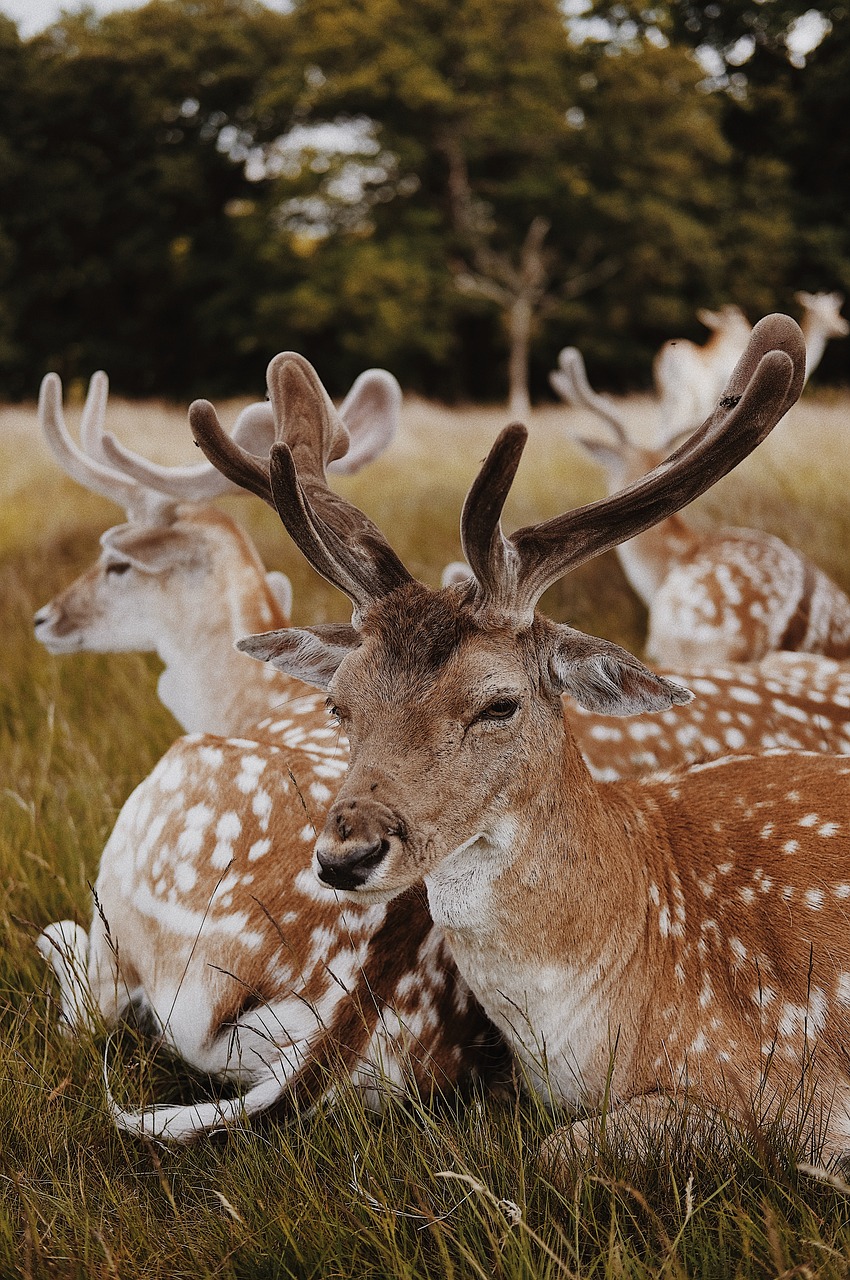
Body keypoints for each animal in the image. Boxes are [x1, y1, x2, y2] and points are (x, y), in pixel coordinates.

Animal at [650, 291, 844, 435]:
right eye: (820, 310)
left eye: (834, 310)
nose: (843, 327)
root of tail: (667, 356)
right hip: (687, 397)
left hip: (666, 399)